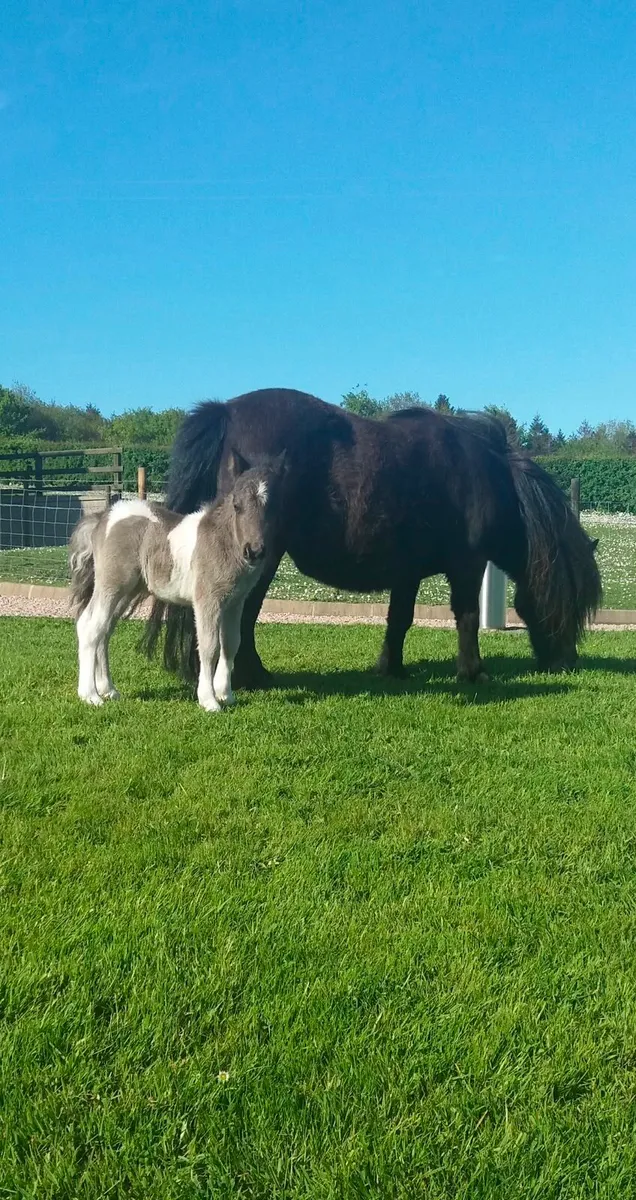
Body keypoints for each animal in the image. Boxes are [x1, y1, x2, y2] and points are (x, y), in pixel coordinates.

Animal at [69, 451, 286, 709]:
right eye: (237, 506)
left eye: (272, 507)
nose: (254, 551)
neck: (224, 542)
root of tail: (103, 517)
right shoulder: (207, 600)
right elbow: (209, 646)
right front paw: (209, 700)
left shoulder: (235, 602)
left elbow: (231, 643)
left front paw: (226, 695)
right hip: (111, 586)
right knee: (91, 627)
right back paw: (89, 695)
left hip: (126, 592)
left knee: (104, 631)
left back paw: (108, 690)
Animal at [143, 388, 602, 689]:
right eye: (572, 601)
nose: (567, 662)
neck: (489, 476)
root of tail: (227, 412)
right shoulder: (468, 566)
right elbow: (468, 617)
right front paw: (473, 672)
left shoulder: (407, 572)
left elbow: (399, 619)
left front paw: (391, 668)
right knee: (242, 614)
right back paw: (253, 676)